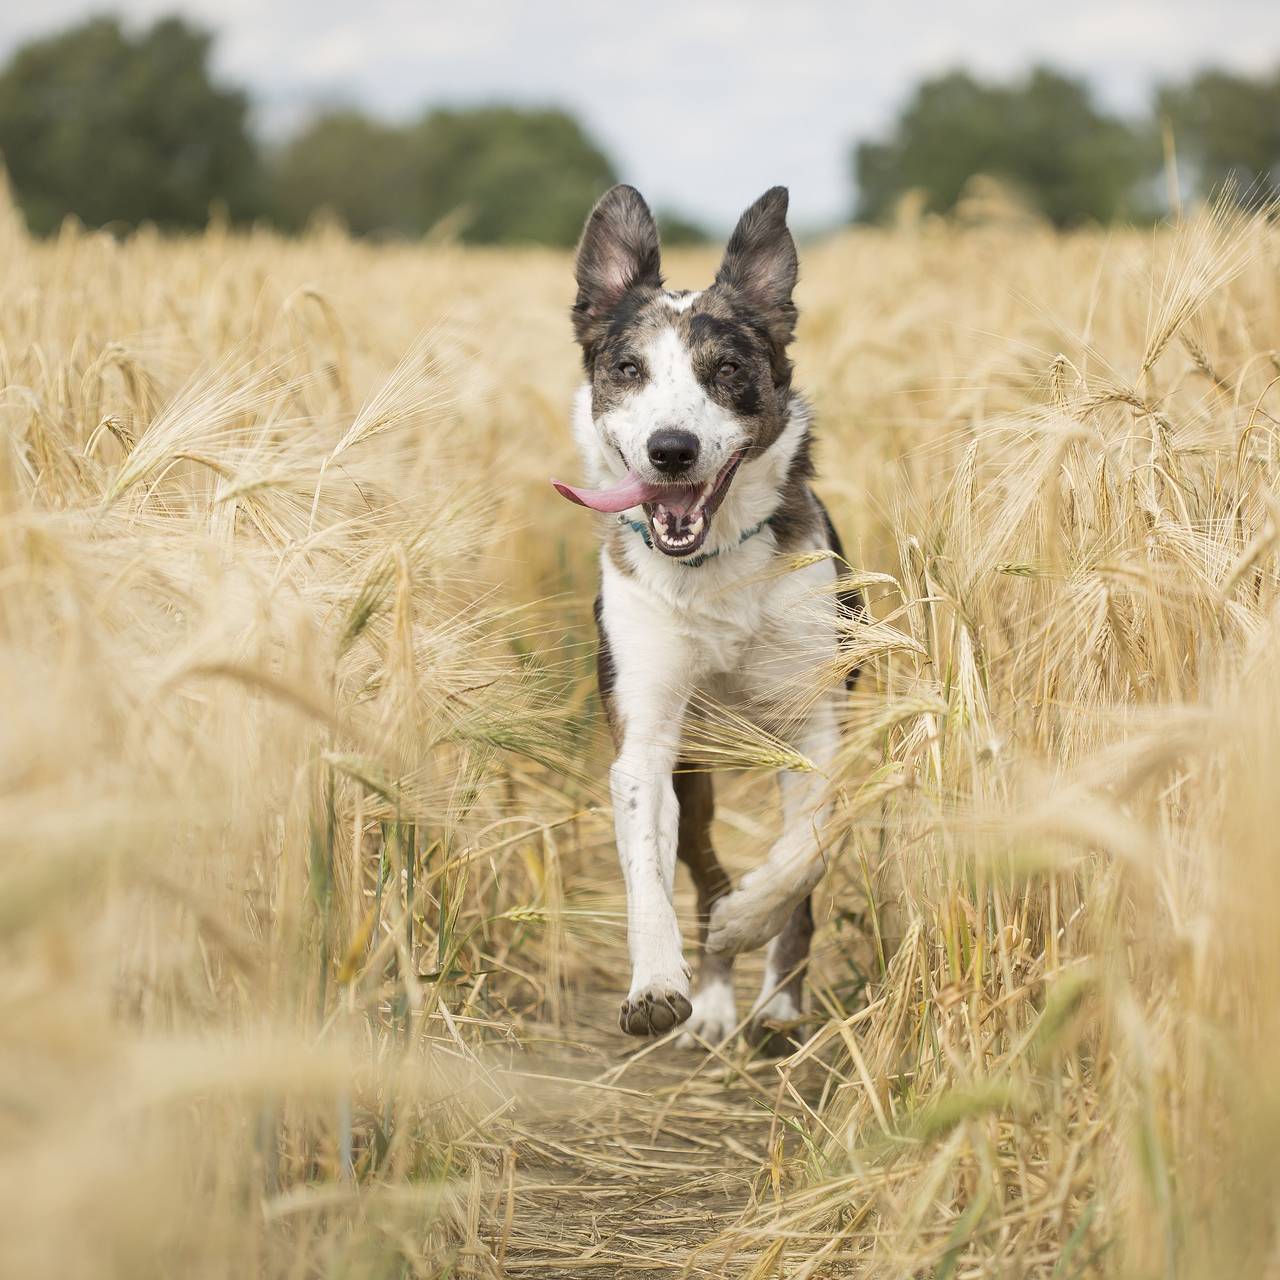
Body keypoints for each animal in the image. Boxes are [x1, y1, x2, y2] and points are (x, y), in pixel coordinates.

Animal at [550, 186, 860, 1049]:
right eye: (628, 369)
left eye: (726, 370)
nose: (672, 449)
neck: (712, 567)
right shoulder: (649, 741)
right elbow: (646, 874)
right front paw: (659, 983)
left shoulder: (816, 725)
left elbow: (804, 853)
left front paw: (750, 923)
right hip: (696, 775)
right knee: (701, 866)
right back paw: (715, 1001)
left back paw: (775, 1000)